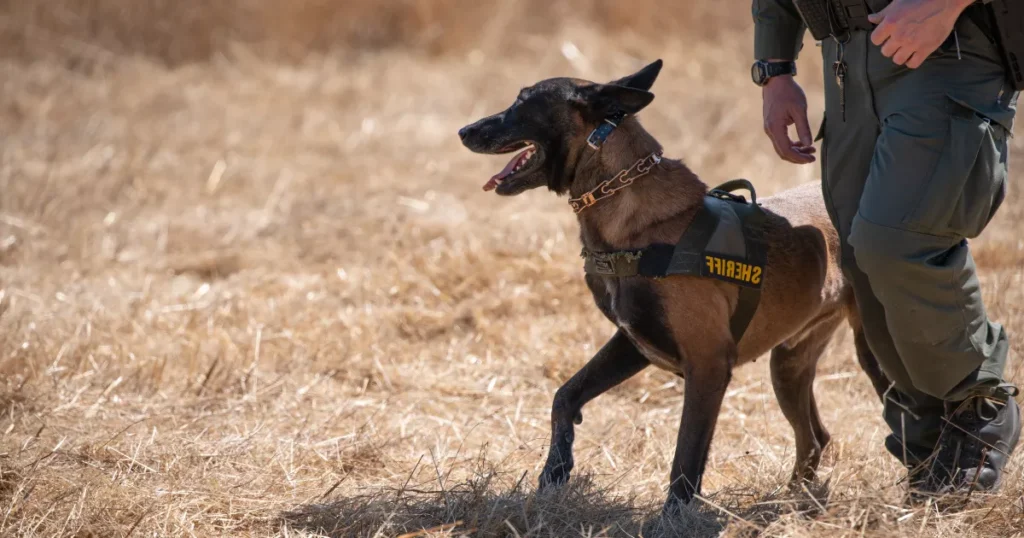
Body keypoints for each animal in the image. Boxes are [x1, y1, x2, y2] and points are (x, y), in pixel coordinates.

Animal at [456, 60, 888, 510]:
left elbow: (686, 456)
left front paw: (673, 516)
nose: (464, 131)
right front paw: (554, 472)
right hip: (787, 365)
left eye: (523, 102)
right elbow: (565, 396)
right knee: (815, 437)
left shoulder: (708, 365)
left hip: (872, 355)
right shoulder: (632, 343)